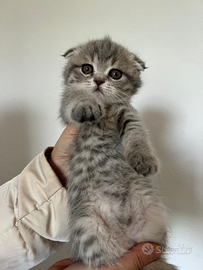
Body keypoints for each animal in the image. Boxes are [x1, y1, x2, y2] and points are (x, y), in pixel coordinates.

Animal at [59, 37, 177, 268]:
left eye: (115, 73)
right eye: (87, 69)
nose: (98, 80)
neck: (105, 110)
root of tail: (127, 238)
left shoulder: (128, 113)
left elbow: (137, 133)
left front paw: (143, 158)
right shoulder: (67, 110)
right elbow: (75, 97)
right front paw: (86, 103)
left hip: (153, 218)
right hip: (87, 226)